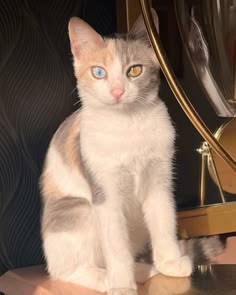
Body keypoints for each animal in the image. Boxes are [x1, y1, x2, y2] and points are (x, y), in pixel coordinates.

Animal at [40, 11, 223, 295]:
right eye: (99, 72)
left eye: (134, 70)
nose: (117, 91)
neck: (128, 123)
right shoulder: (105, 193)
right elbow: (116, 247)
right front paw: (121, 284)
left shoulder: (159, 179)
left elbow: (164, 223)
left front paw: (169, 263)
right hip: (77, 211)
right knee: (67, 271)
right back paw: (106, 277)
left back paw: (146, 268)